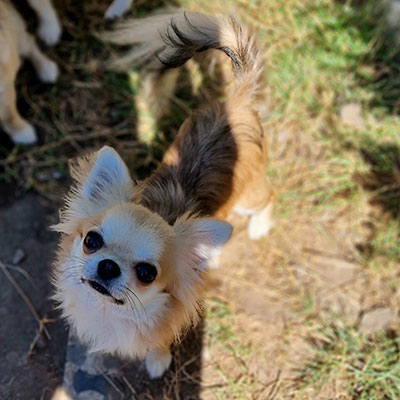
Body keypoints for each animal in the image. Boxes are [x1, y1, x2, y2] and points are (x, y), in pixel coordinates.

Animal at [0, 1, 57, 145]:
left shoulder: (5, 88)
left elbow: (9, 114)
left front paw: (20, 131)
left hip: (16, 28)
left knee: (29, 45)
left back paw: (45, 68)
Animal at [51, 11, 274, 378]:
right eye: (91, 241)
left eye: (147, 274)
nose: (108, 266)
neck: (111, 312)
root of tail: (236, 101)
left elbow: (158, 343)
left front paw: (157, 361)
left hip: (249, 196)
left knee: (269, 197)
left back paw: (259, 227)